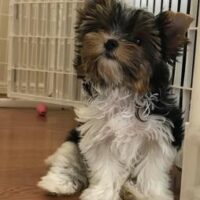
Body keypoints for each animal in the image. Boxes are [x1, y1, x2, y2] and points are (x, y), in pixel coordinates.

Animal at [37, 0, 192, 199]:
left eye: (138, 41)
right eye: (102, 27)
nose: (110, 42)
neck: (122, 88)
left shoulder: (160, 133)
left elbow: (151, 170)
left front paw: (150, 194)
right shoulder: (98, 135)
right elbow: (106, 169)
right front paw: (102, 194)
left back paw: (131, 190)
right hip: (73, 139)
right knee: (67, 157)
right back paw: (58, 182)